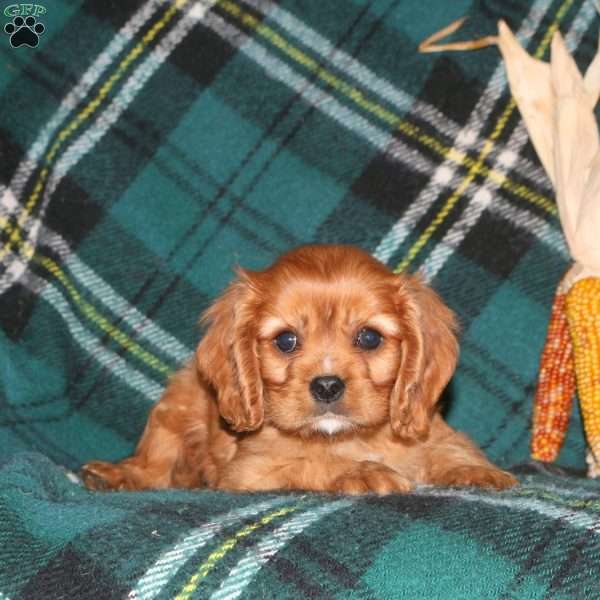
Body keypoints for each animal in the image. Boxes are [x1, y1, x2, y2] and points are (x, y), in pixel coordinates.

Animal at [82, 241, 516, 494]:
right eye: (286, 341)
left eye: (369, 338)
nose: (327, 386)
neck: (348, 438)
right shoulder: (251, 471)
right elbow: (311, 464)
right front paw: (360, 473)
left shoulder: (429, 430)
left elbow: (450, 447)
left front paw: (477, 471)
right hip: (177, 406)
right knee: (156, 464)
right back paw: (115, 475)